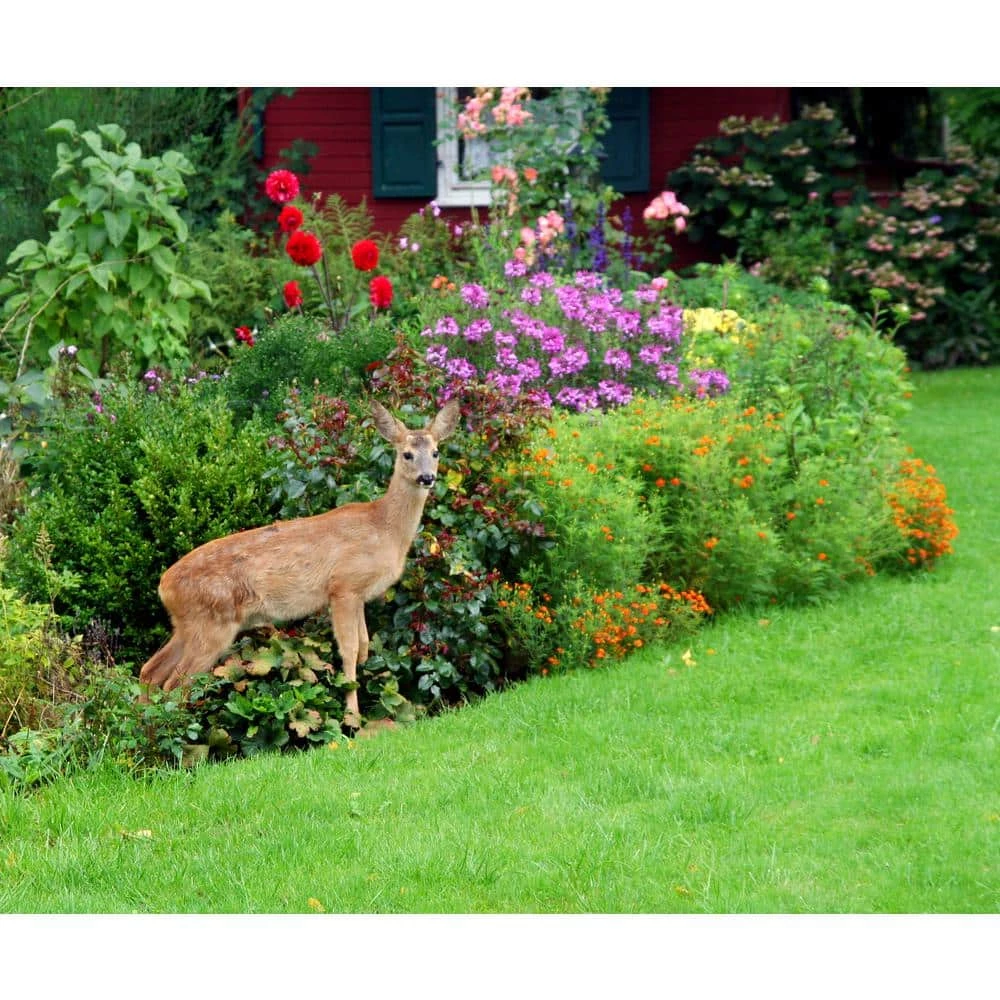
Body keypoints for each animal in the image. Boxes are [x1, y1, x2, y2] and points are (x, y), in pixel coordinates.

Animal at [138, 398, 461, 727]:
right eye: (407, 453)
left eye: (435, 452)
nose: (427, 477)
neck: (384, 528)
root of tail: (164, 586)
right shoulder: (343, 586)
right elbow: (349, 650)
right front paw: (352, 718)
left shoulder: (357, 595)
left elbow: (364, 646)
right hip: (212, 622)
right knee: (176, 682)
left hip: (187, 624)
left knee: (150, 671)